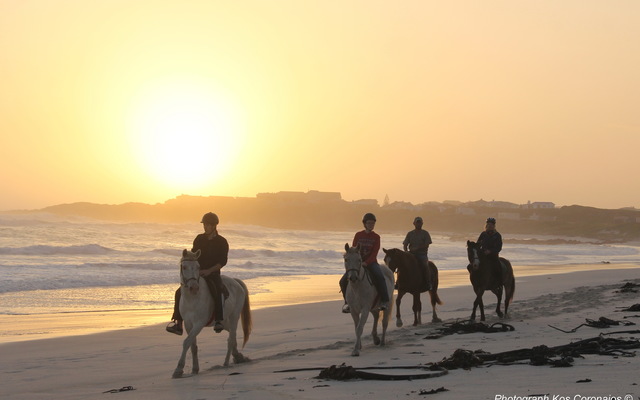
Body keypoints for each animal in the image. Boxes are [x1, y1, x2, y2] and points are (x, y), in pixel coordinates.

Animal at [173, 249, 252, 378]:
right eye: (184, 267)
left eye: (198, 267)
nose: (194, 288)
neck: (192, 298)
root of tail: (236, 282)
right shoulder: (188, 324)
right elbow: (193, 345)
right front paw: (195, 369)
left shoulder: (199, 323)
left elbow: (186, 342)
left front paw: (178, 369)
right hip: (225, 321)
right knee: (232, 335)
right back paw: (237, 356)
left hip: (234, 316)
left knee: (231, 338)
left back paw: (226, 362)